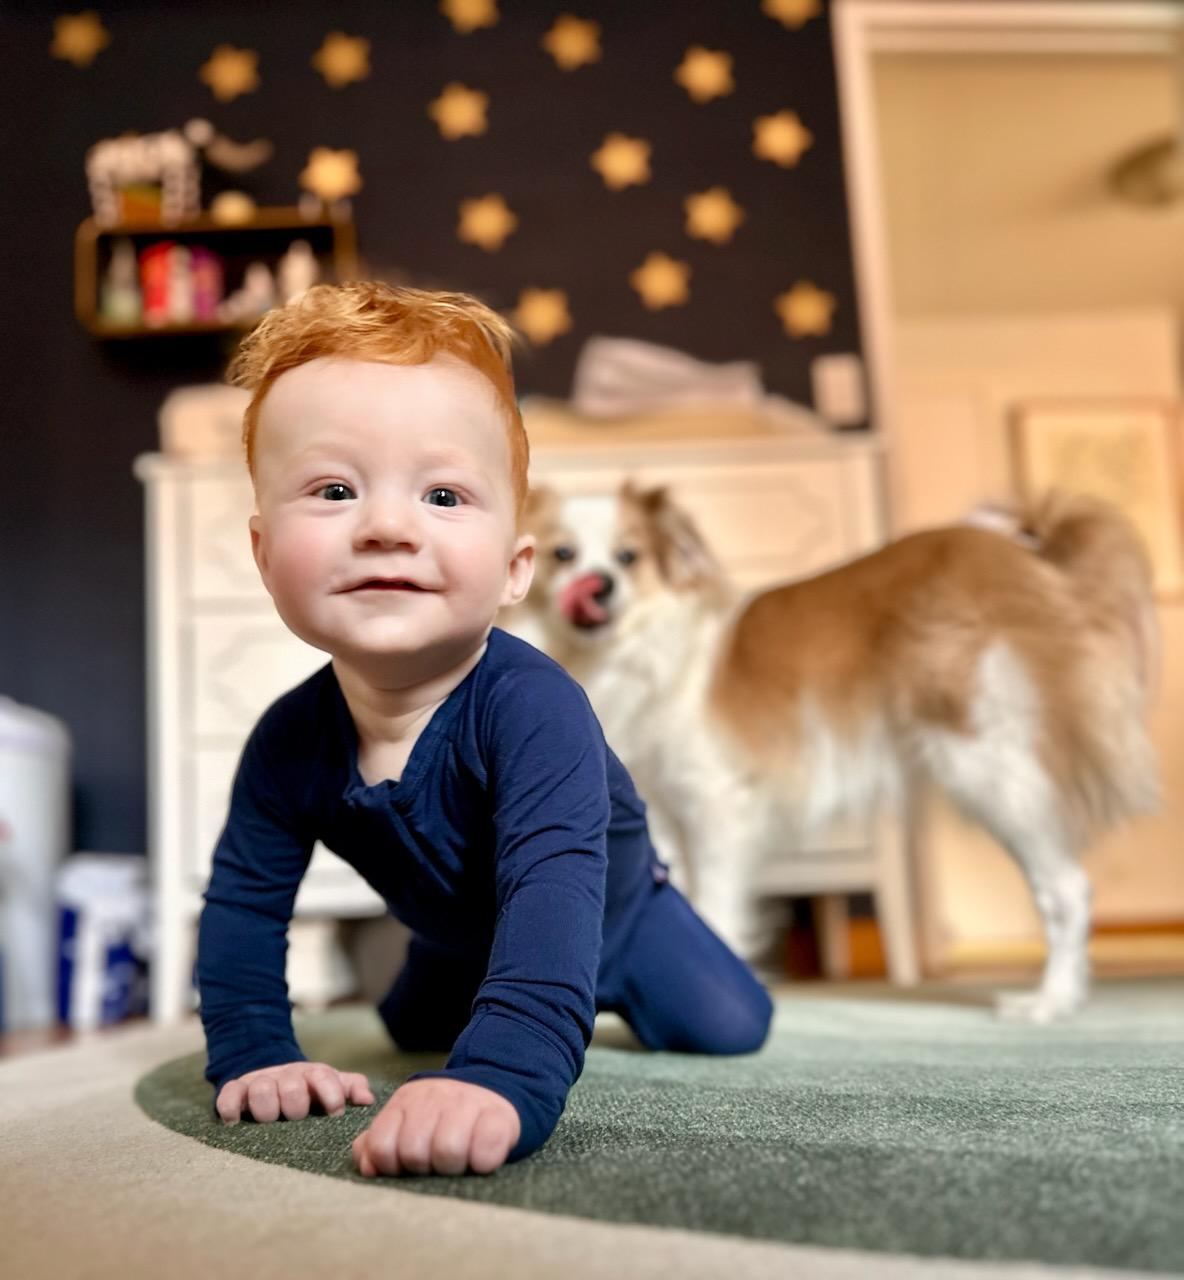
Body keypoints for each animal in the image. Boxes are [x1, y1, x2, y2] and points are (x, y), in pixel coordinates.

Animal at [499, 481, 1157, 1018]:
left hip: (984, 762)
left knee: (1066, 888)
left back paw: (1049, 1003)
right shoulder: (660, 812)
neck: (626, 656)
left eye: (628, 557)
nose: (600, 587)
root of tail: (1021, 555)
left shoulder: (716, 806)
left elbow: (713, 908)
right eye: (563, 555)